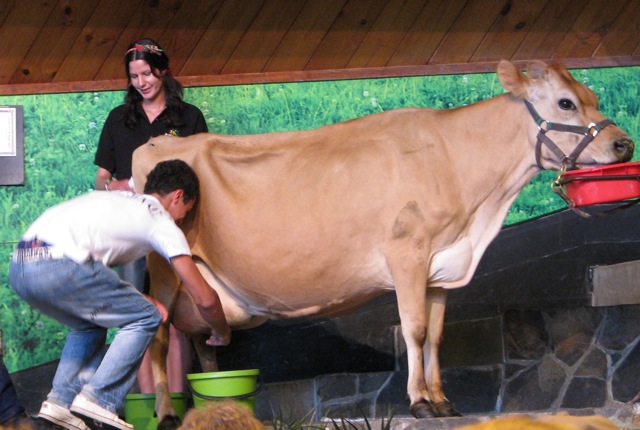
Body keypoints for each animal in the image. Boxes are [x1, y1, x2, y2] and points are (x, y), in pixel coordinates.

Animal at [131, 60, 636, 426]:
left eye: (594, 96)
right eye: (566, 103)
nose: (623, 144)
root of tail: (155, 145)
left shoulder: (440, 267)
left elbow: (435, 335)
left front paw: (443, 400)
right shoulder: (407, 254)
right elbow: (413, 330)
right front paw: (419, 402)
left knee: (202, 342)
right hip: (162, 267)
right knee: (158, 335)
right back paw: (166, 412)